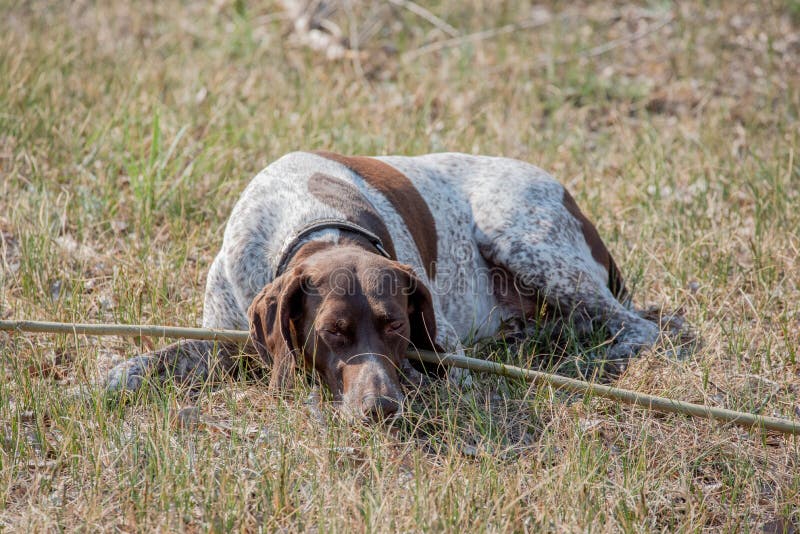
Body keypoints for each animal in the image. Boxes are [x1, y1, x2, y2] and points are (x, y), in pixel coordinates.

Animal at [104, 153, 656, 426]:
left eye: (396, 325)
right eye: (332, 332)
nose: (381, 409)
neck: (313, 220)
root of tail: (568, 195)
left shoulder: (443, 349)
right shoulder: (227, 338)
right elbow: (158, 358)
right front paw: (116, 377)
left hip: (522, 240)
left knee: (638, 326)